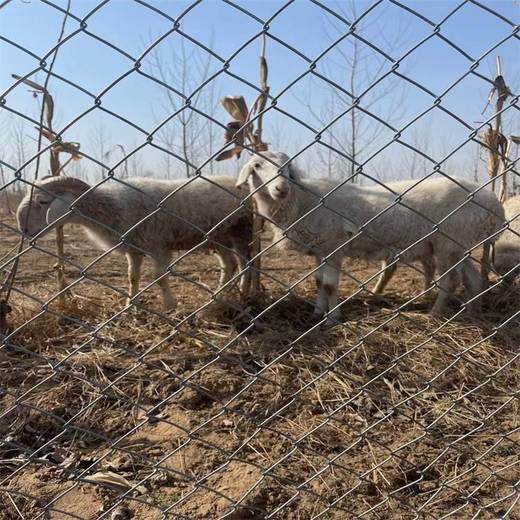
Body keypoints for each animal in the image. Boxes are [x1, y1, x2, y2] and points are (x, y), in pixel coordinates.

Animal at [16, 177, 252, 310]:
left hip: (240, 231)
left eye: (43, 202)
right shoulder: (133, 249)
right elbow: (132, 277)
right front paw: (131, 304)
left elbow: (159, 277)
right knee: (230, 265)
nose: (23, 229)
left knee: (245, 264)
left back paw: (241, 293)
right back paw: (219, 298)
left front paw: (170, 306)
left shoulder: (158, 246)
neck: (109, 206)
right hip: (217, 237)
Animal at [238, 150, 506, 320]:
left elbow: (329, 285)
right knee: (472, 279)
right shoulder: (320, 249)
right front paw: (317, 313)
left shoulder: (334, 245)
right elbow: (319, 283)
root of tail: (493, 204)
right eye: (257, 166)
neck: (303, 200)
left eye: (287, 167)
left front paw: (333, 317)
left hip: (447, 242)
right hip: (459, 244)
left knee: (450, 281)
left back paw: (435, 313)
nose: (281, 188)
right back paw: (473, 311)